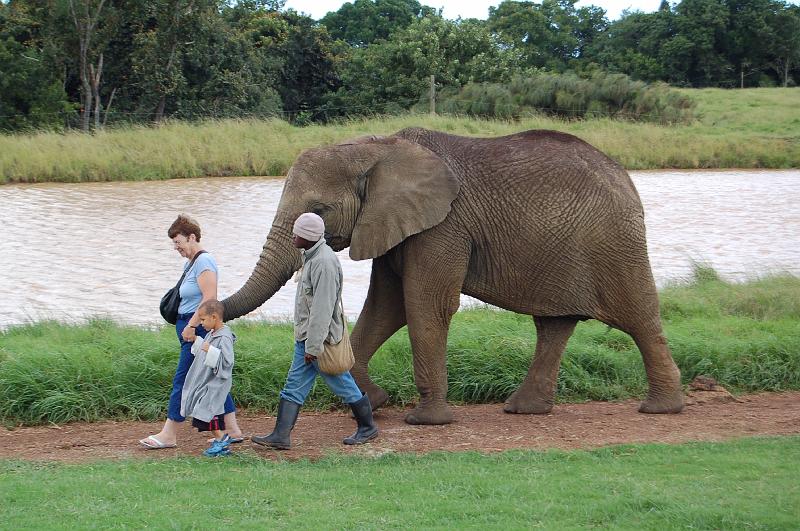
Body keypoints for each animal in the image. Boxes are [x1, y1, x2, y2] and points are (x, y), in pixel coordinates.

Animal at [222, 127, 684, 425]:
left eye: (318, 210)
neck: (376, 147)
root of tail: (627, 177)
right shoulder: (396, 225)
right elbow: (387, 307)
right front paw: (375, 401)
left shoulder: (443, 227)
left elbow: (424, 304)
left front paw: (427, 421)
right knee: (554, 325)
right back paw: (524, 410)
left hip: (615, 243)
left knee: (639, 317)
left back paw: (662, 409)